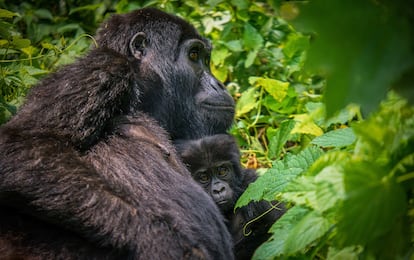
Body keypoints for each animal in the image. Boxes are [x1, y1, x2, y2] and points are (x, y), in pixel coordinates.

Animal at [0, 7, 234, 258]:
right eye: (193, 55)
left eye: (206, 59)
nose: (220, 85)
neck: (144, 91)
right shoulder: (102, 69)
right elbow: (22, 148)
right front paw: (158, 239)